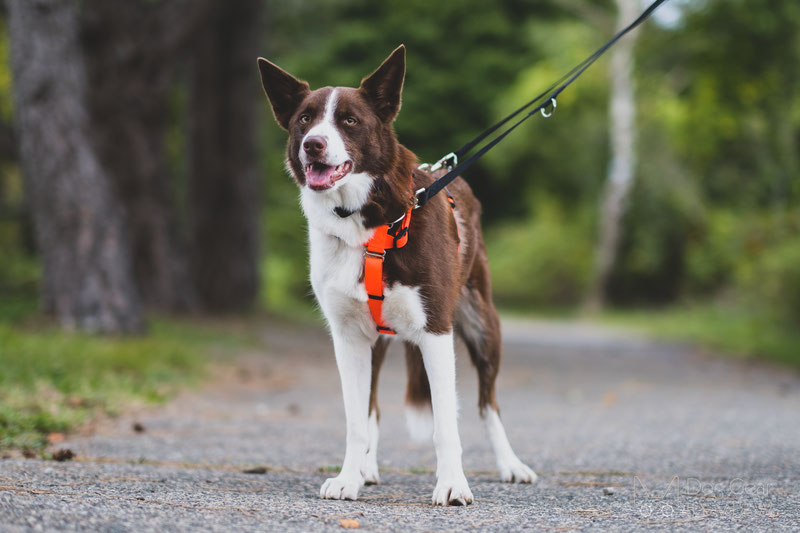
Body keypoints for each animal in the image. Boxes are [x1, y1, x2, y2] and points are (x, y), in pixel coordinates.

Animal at [260, 44, 536, 502]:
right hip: (378, 341)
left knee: (488, 403)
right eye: (304, 119)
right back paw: (367, 468)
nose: (314, 144)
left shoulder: (436, 331)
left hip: (482, 323)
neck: (364, 222)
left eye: (349, 120)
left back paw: (511, 464)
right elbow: (357, 419)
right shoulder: (348, 338)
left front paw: (452, 484)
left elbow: (446, 423)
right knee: (372, 404)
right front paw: (348, 477)